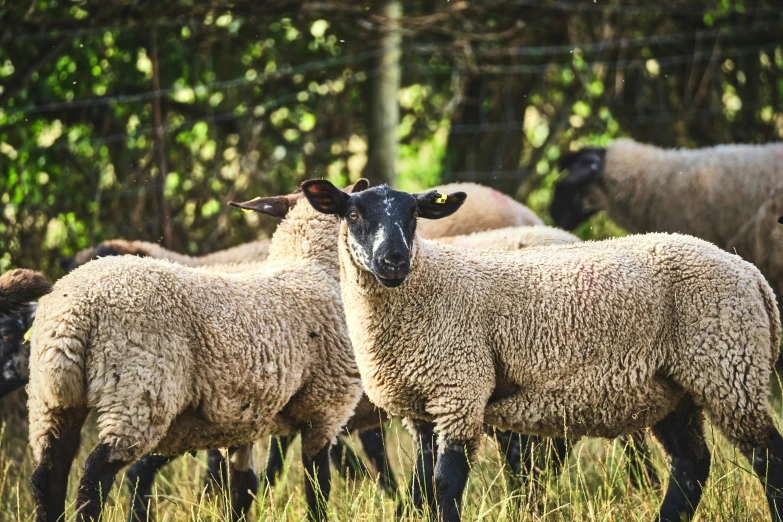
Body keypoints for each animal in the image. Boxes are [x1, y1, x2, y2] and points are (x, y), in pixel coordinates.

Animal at [300, 180, 783, 520]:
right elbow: (422, 491)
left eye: (415, 215)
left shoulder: (460, 391)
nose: (394, 260)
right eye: (353, 213)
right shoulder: (421, 408)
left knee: (767, 458)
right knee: (690, 466)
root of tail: (753, 276)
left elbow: (446, 486)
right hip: (673, 387)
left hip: (728, 365)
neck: (426, 285)